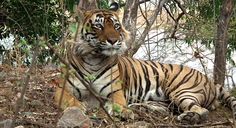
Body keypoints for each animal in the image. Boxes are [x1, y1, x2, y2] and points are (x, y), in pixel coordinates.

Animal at [55, 6, 236, 124]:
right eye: (98, 26)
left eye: (116, 26)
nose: (113, 40)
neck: (94, 57)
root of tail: (210, 80)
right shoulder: (62, 88)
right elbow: (70, 100)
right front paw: (79, 107)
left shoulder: (115, 91)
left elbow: (119, 102)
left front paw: (124, 112)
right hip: (164, 101)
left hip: (181, 90)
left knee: (202, 111)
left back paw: (189, 118)